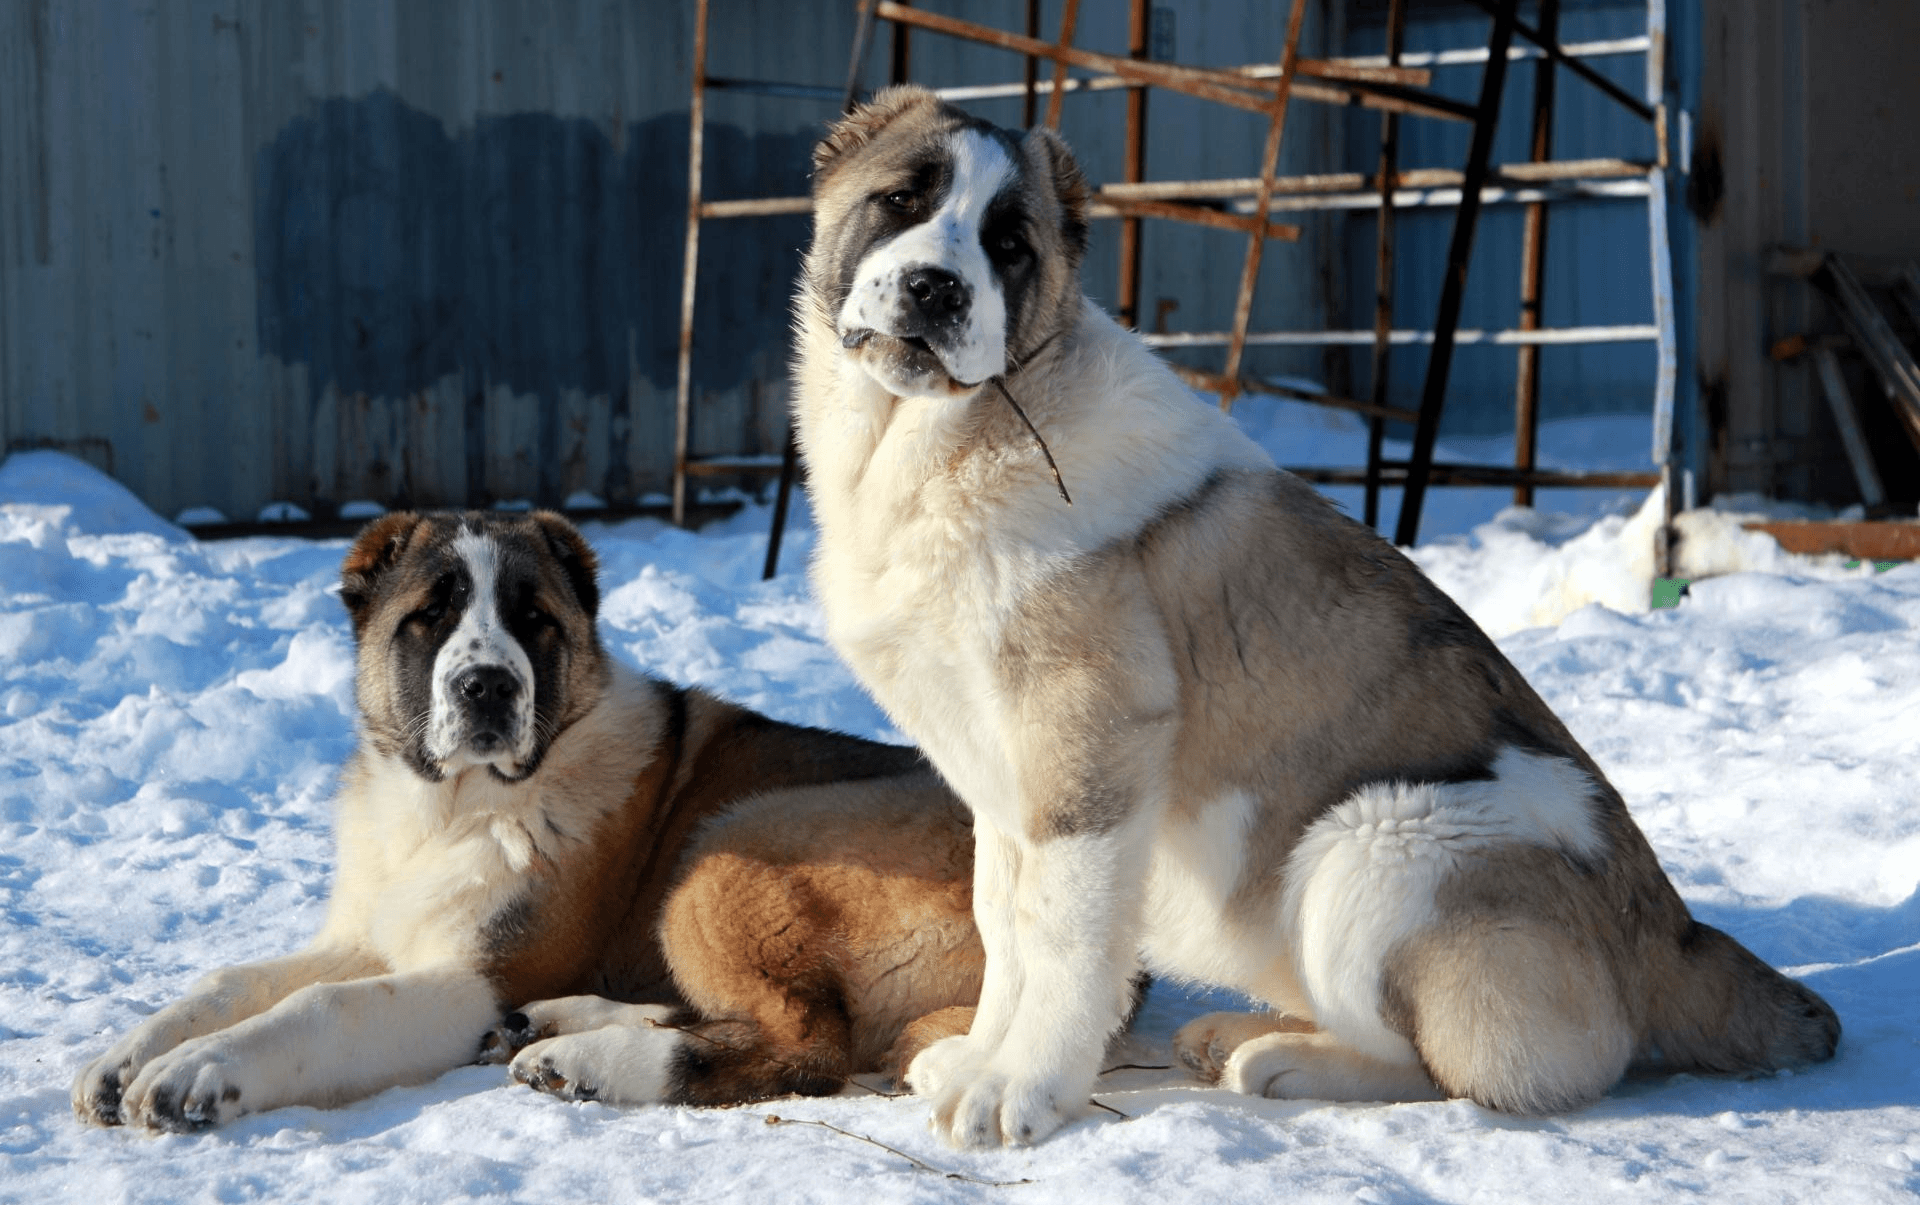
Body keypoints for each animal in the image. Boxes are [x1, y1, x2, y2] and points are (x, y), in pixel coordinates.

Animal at [67, 506, 983, 1128]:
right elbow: (233, 978)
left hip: (730, 842)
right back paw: (550, 1025)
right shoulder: (375, 930)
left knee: (809, 1043)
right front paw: (128, 1054)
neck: (449, 807)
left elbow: (323, 1004)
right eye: (429, 616)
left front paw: (201, 1067)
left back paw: (586, 1060)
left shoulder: (482, 973)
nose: (488, 685)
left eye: (534, 619)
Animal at [787, 87, 1835, 1151]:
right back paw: (1237, 1033)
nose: (936, 288)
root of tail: (1672, 933)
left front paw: (1023, 1086)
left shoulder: (1091, 744)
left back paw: (1279, 1058)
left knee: (1467, 1070)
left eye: (1009, 245)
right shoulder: (1004, 786)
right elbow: (1005, 926)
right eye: (902, 200)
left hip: (1375, 845)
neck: (944, 441)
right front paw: (980, 1054)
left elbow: (1062, 934)